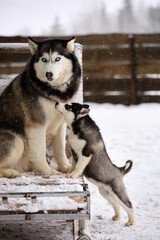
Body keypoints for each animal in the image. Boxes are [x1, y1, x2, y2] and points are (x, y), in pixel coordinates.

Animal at [0, 36, 80, 177]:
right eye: (44, 59)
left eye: (57, 58)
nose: (49, 74)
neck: (55, 91)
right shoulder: (37, 125)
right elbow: (40, 150)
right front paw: (47, 171)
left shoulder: (61, 124)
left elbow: (60, 148)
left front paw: (65, 166)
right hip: (16, 140)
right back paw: (10, 172)